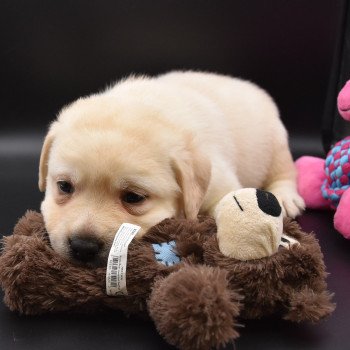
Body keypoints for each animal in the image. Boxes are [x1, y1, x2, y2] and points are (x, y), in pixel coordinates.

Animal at [39, 71, 304, 266]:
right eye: (64, 186)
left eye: (133, 197)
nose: (83, 247)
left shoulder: (219, 183)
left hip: (276, 143)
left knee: (284, 170)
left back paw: (286, 197)